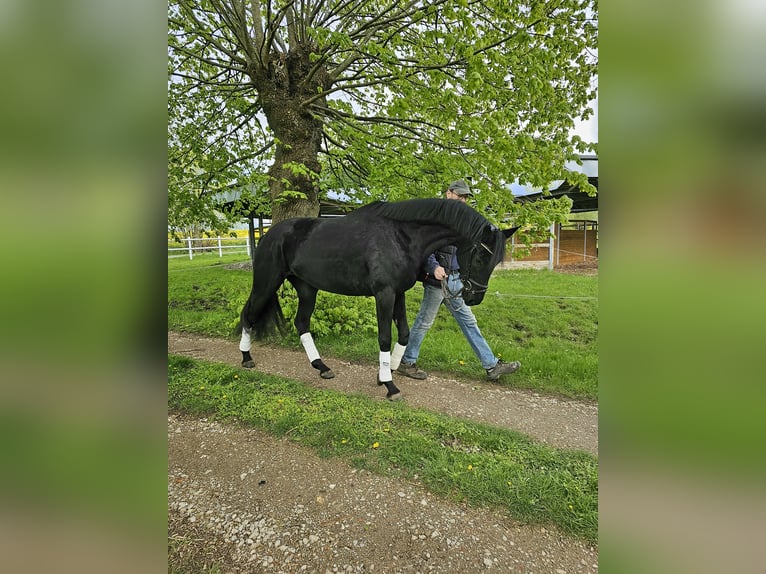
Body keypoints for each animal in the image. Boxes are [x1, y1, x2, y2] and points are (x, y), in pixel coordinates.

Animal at [237, 198, 520, 400]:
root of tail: (269, 234)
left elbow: (404, 333)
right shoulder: (384, 294)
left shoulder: (399, 293)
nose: (473, 297)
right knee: (249, 314)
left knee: (301, 323)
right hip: (267, 282)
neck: (400, 236)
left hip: (307, 288)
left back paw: (322, 367)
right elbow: (385, 337)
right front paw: (390, 386)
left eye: (495, 261)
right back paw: (246, 358)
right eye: (481, 257)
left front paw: (386, 372)